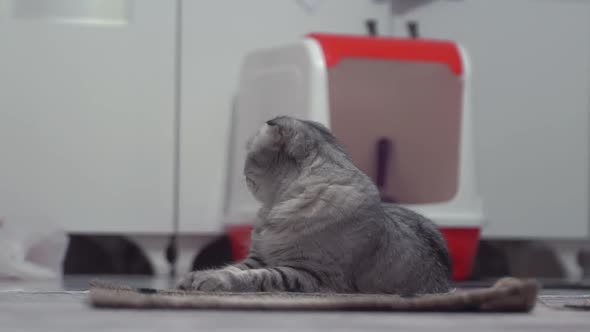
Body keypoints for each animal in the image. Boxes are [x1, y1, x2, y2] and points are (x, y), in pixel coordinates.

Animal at [179, 116, 454, 296]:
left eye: (248, 156)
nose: (242, 172)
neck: (273, 208)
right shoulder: (258, 257)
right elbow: (233, 267)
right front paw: (195, 277)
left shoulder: (308, 272)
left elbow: (254, 276)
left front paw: (213, 281)